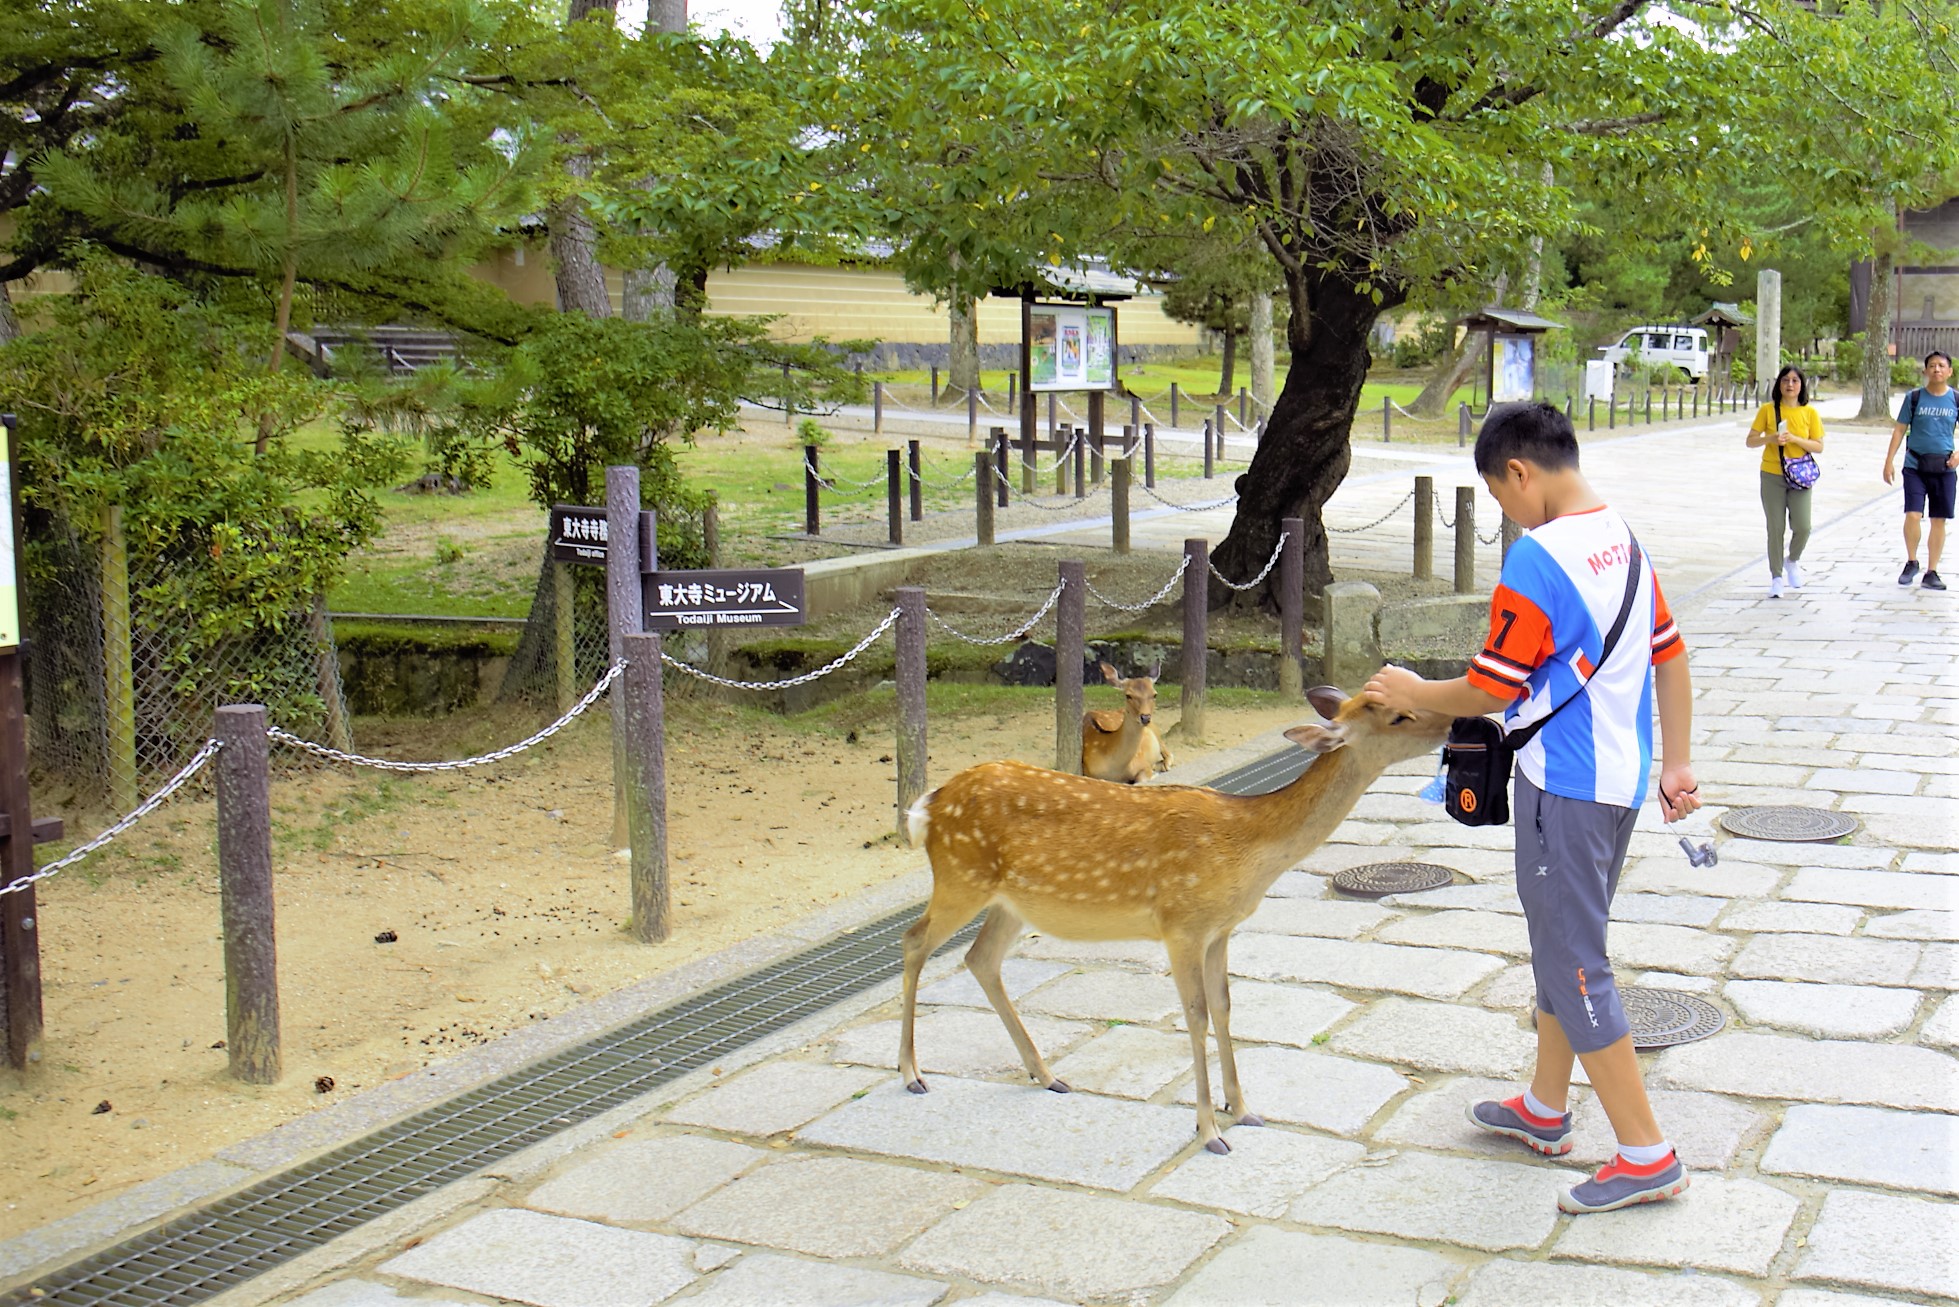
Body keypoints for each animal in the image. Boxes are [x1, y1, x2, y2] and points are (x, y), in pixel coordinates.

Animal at [901, 685, 1457, 1152]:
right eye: (1398, 715)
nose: (1455, 722)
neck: (1247, 849)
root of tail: (926, 807)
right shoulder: (1181, 924)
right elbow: (1196, 1014)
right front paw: (1209, 1130)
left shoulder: (1221, 929)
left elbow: (1226, 1005)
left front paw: (1243, 1109)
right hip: (960, 877)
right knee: (914, 941)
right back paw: (911, 1074)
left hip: (1010, 901)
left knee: (980, 958)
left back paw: (1048, 1075)